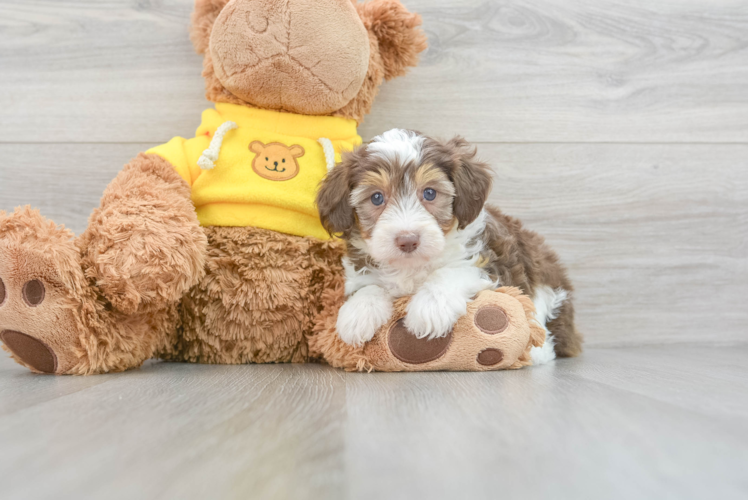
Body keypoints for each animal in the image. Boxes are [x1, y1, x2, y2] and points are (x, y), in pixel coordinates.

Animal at [316, 129, 584, 364]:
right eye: (376, 198)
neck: (412, 266)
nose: (407, 239)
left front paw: (430, 308)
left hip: (545, 279)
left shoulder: (490, 263)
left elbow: (452, 271)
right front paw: (358, 313)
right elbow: (368, 285)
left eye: (430, 193)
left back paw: (538, 352)